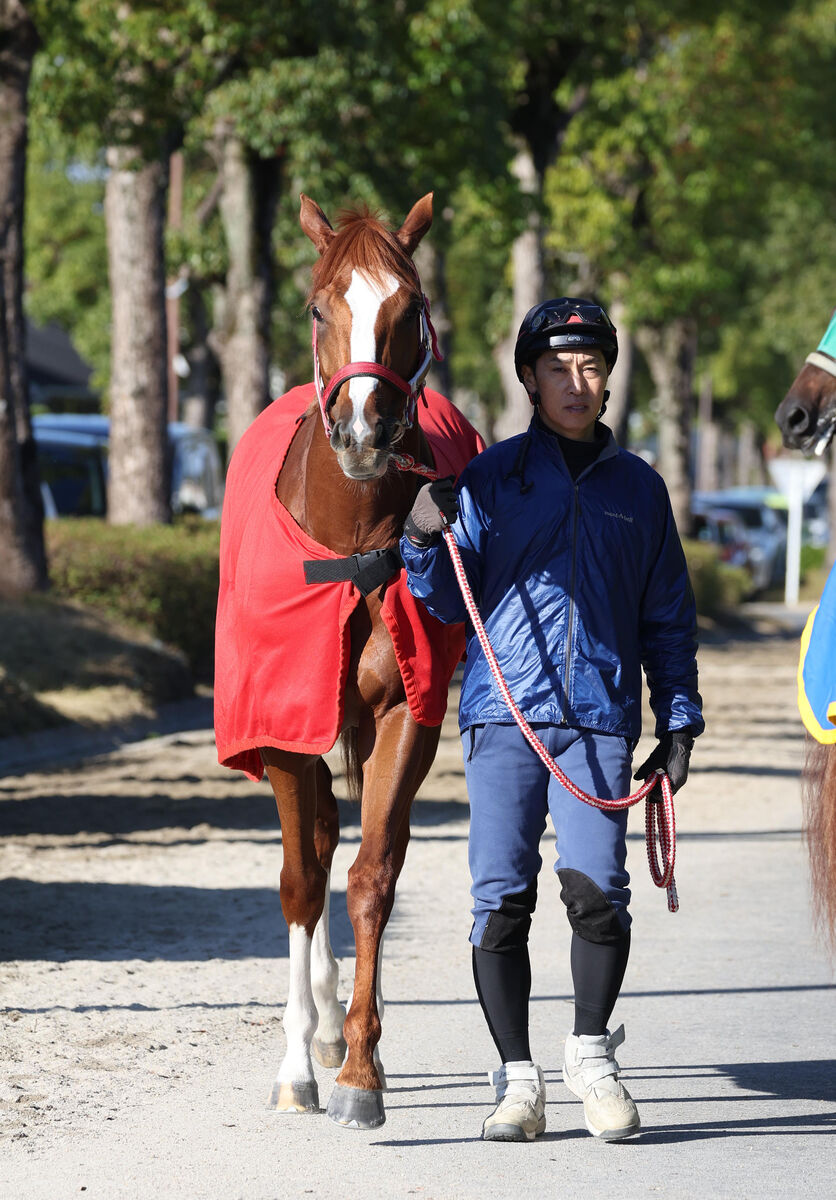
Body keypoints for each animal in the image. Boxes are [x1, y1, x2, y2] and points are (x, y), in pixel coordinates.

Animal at [214, 192, 482, 1128]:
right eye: (317, 306)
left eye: (411, 306)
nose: (364, 428)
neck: (351, 548)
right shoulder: (285, 723)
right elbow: (302, 880)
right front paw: (298, 1064)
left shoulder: (406, 716)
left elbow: (372, 878)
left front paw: (362, 1069)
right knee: (318, 849)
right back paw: (318, 1028)